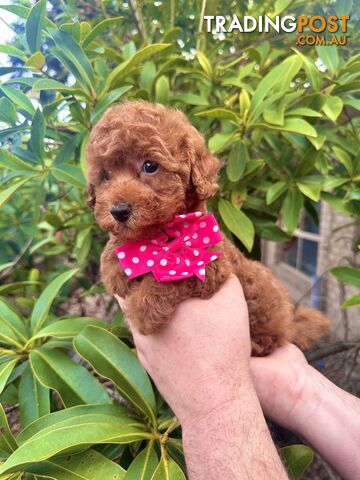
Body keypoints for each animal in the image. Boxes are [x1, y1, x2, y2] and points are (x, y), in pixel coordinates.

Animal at [87, 100, 330, 356]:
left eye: (150, 166)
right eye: (105, 175)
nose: (119, 211)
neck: (162, 235)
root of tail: (290, 324)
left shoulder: (211, 267)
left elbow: (171, 278)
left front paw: (142, 310)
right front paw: (114, 263)